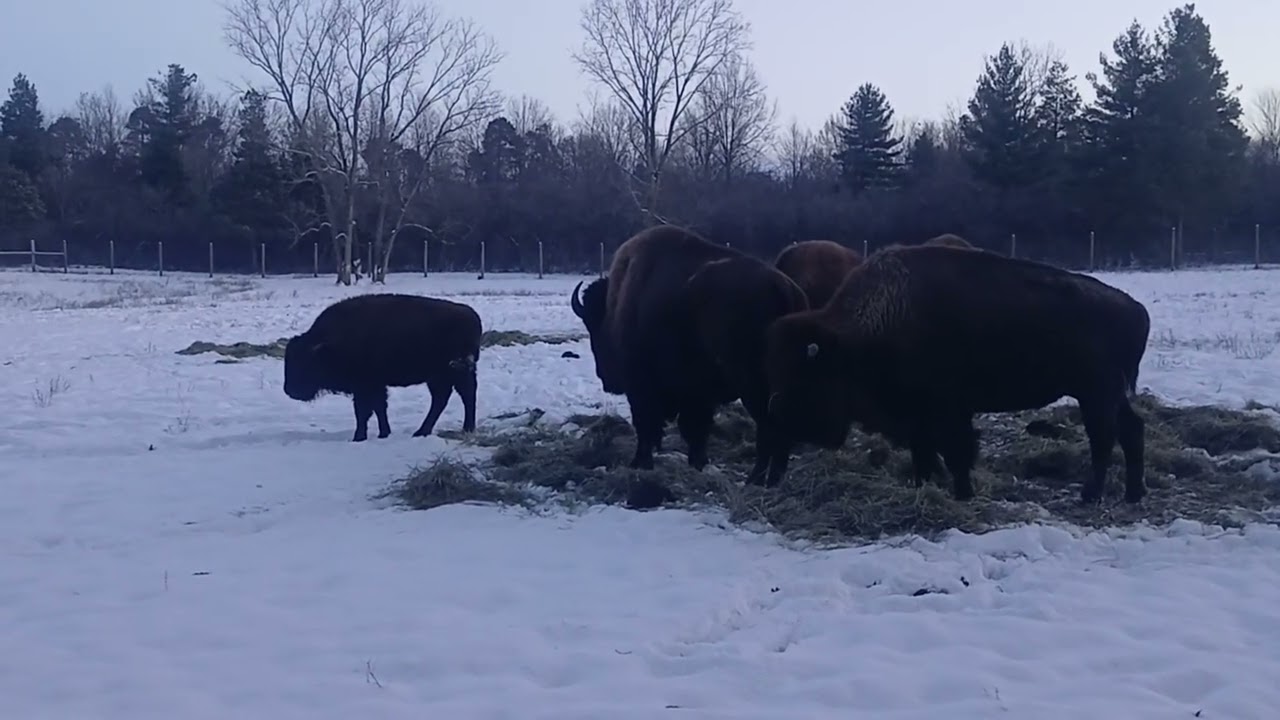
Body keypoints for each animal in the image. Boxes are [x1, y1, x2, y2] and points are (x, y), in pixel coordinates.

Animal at [283, 293, 481, 442]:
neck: (329, 345)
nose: (289, 390)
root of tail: (471, 315)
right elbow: (379, 408)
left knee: (466, 395)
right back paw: (422, 431)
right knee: (441, 399)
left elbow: (363, 411)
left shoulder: (365, 386)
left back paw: (466, 428)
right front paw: (383, 433)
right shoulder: (374, 386)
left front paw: (359, 437)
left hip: (456, 372)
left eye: (304, 363)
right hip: (438, 376)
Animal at [764, 244, 1151, 504]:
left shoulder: (946, 411)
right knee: (1131, 429)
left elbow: (956, 451)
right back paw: (1133, 494)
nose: (777, 408)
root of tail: (1135, 309)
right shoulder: (919, 416)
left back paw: (1090, 495)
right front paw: (925, 485)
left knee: (1104, 438)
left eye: (802, 375)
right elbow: (925, 453)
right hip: (1107, 393)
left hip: (1095, 393)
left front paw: (963, 493)